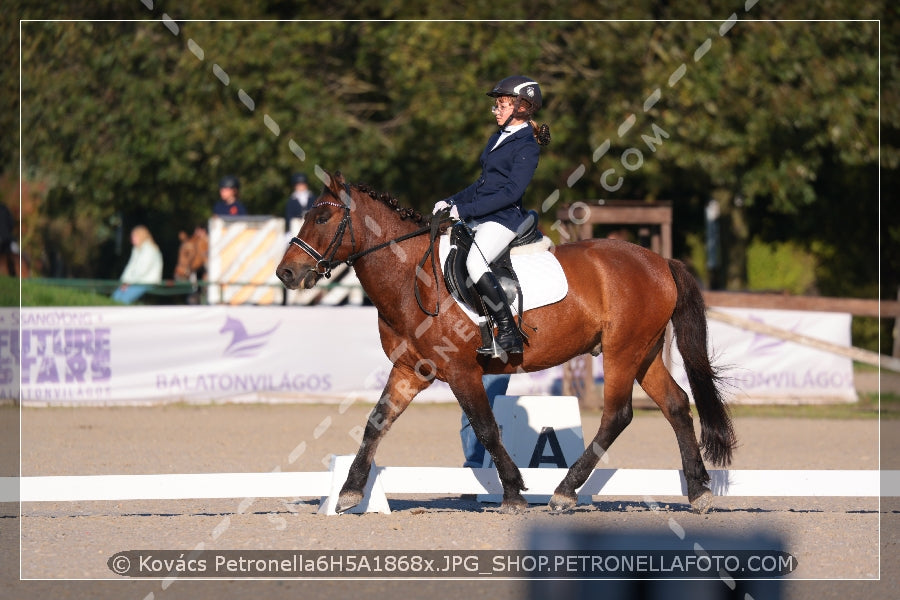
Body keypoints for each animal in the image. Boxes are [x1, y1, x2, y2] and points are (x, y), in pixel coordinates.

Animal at [278, 170, 736, 516]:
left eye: (322, 218)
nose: (286, 273)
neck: (413, 276)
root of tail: (659, 261)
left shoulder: (461, 371)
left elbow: (486, 428)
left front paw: (514, 492)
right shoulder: (410, 370)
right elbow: (377, 421)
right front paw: (350, 491)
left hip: (622, 352)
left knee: (617, 416)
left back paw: (564, 492)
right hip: (644, 352)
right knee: (676, 404)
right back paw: (698, 492)